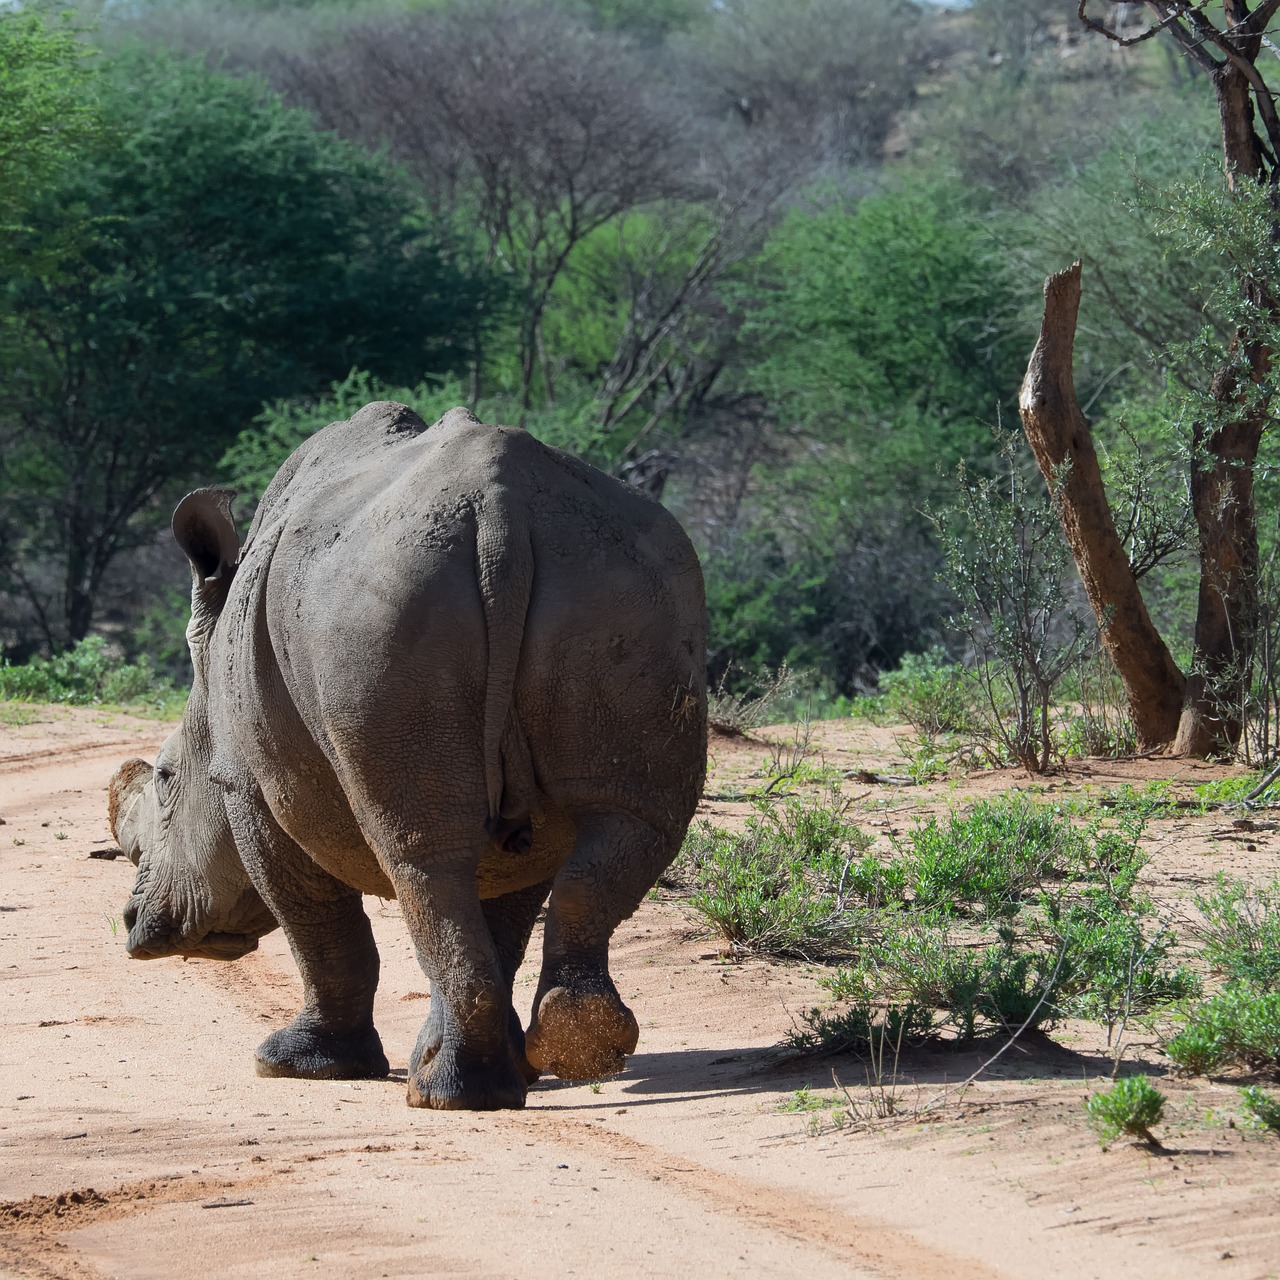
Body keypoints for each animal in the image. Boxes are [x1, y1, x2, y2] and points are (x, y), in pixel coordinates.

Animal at [110, 401, 706, 1111]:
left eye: (166, 777)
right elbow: (502, 912)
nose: (132, 923)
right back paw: (570, 1049)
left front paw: (296, 1066)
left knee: (419, 854)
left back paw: (448, 1096)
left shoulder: (248, 785)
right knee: (622, 828)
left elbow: (318, 923)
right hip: (620, 580)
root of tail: (502, 507)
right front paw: (494, 1064)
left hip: (386, 608)